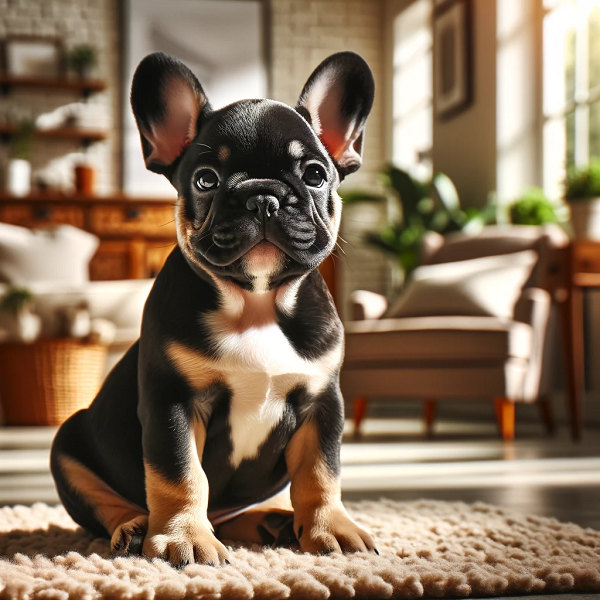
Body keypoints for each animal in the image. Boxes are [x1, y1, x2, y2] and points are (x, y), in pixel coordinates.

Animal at [54, 49, 378, 564]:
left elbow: (321, 472)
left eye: (314, 174)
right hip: (67, 443)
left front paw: (331, 527)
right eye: (206, 180)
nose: (262, 197)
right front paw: (183, 536)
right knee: (103, 501)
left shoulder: (322, 403)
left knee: (230, 514)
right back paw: (134, 527)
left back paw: (271, 521)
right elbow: (180, 473)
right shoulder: (173, 401)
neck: (256, 303)